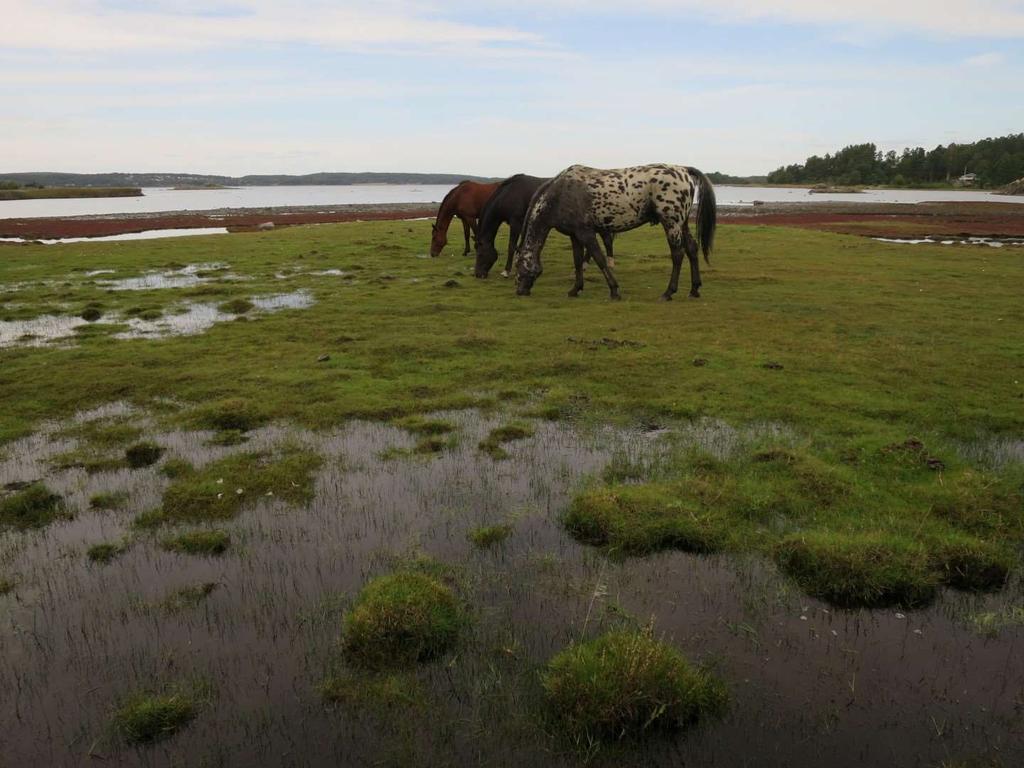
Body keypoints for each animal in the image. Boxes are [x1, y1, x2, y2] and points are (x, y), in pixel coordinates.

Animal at [473, 174, 610, 280]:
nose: (478, 274)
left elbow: (512, 246)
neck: (508, 194)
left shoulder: (516, 222)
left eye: (480, 254)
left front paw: (506, 271)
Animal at [516, 162, 716, 301]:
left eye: (519, 267)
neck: (560, 194)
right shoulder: (575, 236)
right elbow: (578, 261)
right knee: (692, 249)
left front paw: (614, 291)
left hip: (671, 224)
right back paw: (694, 290)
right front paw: (575, 289)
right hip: (682, 224)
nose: (520, 291)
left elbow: (599, 259)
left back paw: (668, 293)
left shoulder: (586, 234)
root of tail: (684, 170)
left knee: (677, 254)